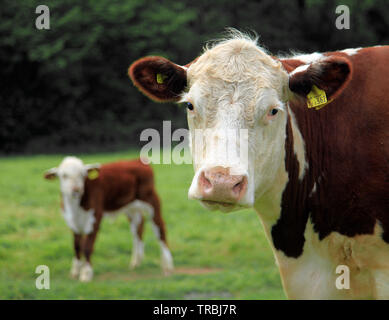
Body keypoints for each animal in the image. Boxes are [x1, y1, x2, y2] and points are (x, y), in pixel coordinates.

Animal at [43, 156, 174, 282]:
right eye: (64, 175)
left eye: (82, 175)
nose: (76, 189)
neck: (75, 207)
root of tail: (137, 160)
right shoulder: (72, 223)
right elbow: (77, 246)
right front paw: (75, 271)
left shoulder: (95, 218)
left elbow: (87, 246)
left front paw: (86, 273)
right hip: (130, 207)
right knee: (137, 228)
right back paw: (136, 261)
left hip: (151, 200)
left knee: (160, 229)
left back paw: (168, 266)